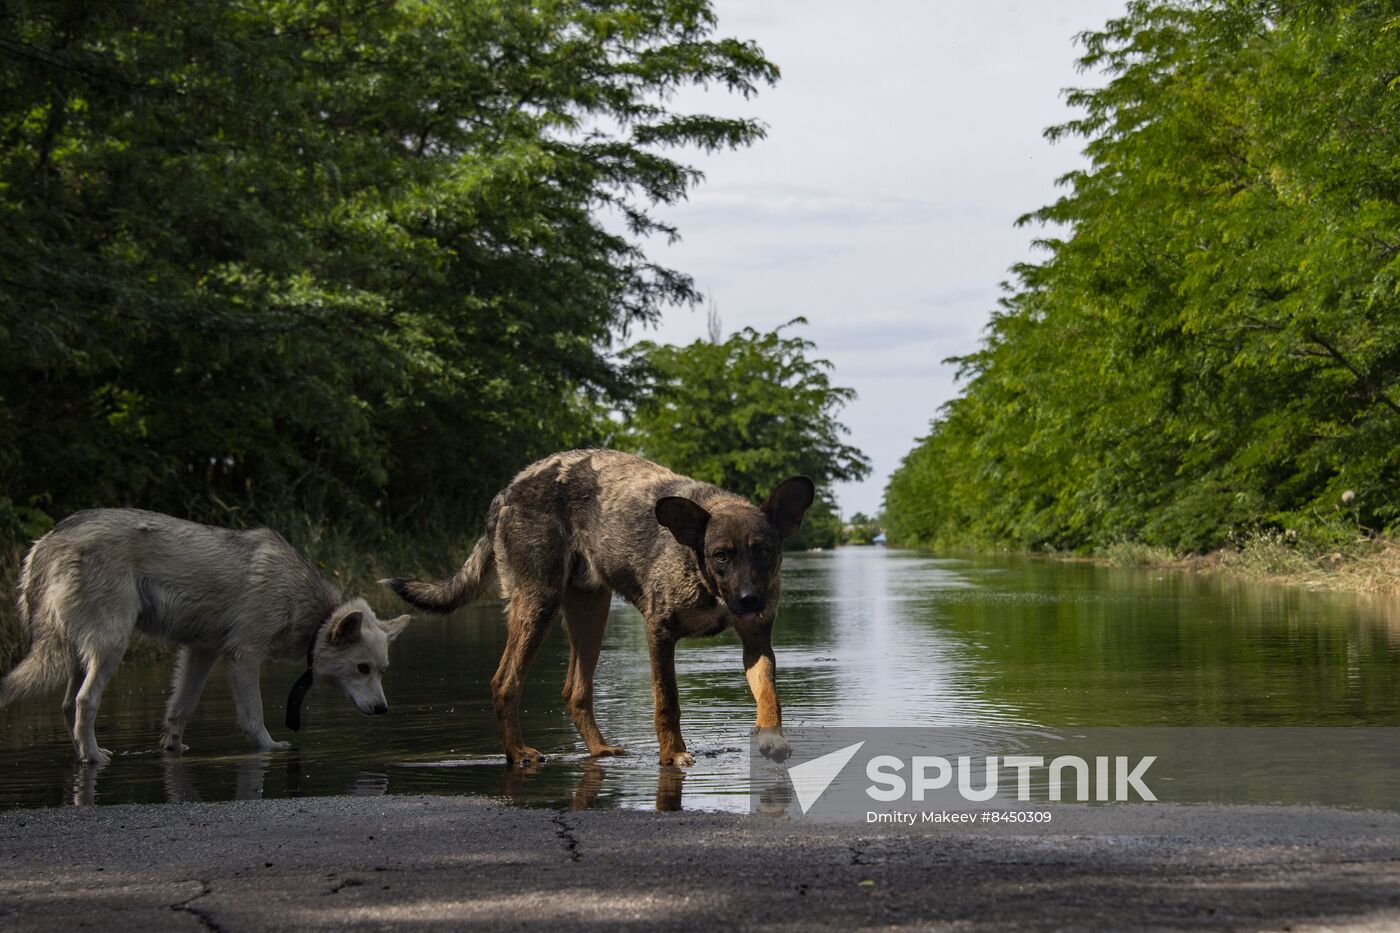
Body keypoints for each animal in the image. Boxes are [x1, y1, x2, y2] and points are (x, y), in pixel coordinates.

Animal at [389, 448, 817, 762]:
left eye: (764, 551)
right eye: (721, 555)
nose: (749, 599)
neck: (705, 578)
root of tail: (506, 492)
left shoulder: (756, 641)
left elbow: (769, 695)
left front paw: (772, 739)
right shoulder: (659, 633)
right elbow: (668, 702)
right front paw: (673, 754)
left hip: (590, 613)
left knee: (574, 690)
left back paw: (598, 748)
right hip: (538, 603)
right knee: (505, 682)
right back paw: (517, 753)